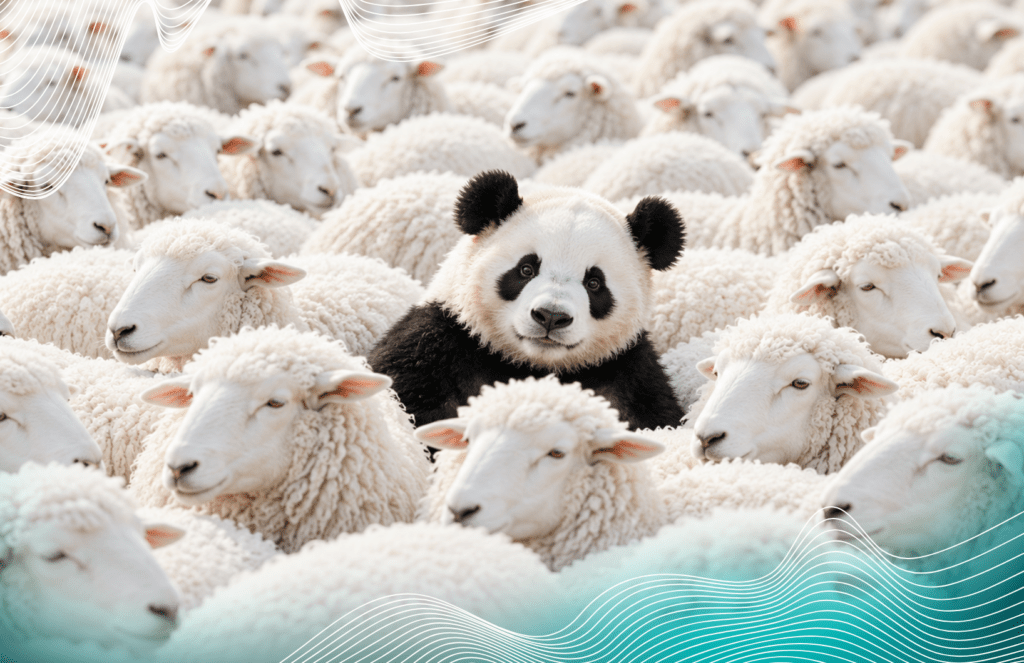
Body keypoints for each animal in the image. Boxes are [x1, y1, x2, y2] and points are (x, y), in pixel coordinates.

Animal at [368, 170, 686, 431]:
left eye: (594, 283)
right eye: (526, 269)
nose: (551, 316)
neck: (534, 366)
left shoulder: (628, 373)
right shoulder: (437, 345)